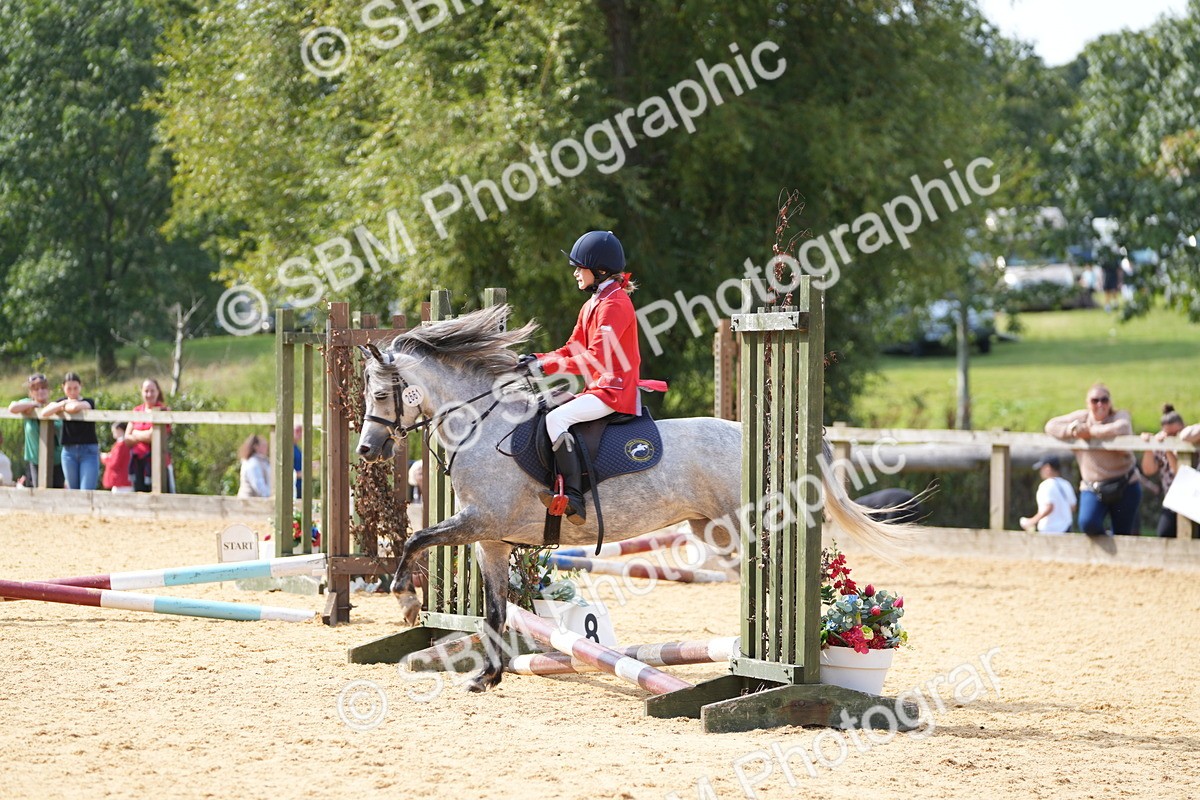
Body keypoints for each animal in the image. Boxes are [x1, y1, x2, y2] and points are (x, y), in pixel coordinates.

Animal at [355, 304, 906, 692]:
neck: (484, 426)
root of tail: (765, 442)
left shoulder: (478, 521)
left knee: (778, 580)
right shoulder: (490, 538)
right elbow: (492, 612)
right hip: (716, 532)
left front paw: (405, 601)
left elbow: (415, 540)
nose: (366, 449)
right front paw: (485, 676)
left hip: (746, 529)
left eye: (381, 396)